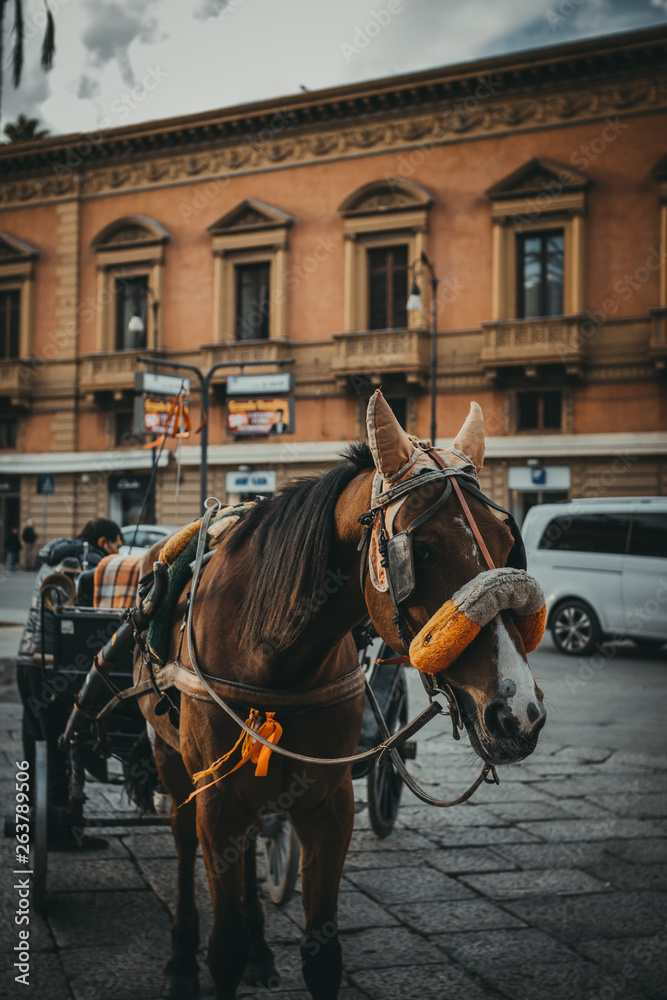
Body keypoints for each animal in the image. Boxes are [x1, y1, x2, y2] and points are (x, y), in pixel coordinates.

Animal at [136, 390, 548, 1000]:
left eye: (506, 544)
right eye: (422, 551)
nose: (519, 713)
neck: (270, 652)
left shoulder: (327, 803)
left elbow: (323, 955)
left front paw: (270, 950)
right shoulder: (217, 798)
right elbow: (223, 948)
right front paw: (213, 955)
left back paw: (261, 949)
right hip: (171, 761)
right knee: (184, 838)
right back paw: (183, 954)